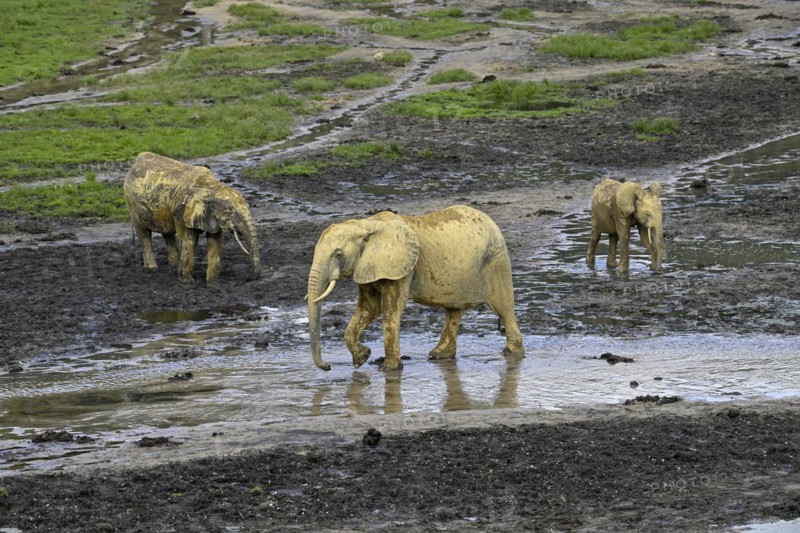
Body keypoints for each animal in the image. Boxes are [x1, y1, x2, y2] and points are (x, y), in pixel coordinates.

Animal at [123, 152, 261, 284]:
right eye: (228, 212)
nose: (247, 279)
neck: (212, 187)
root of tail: (136, 161)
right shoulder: (184, 210)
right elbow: (190, 240)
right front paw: (188, 283)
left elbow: (215, 241)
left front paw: (213, 284)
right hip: (132, 202)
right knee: (144, 233)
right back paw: (152, 269)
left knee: (167, 233)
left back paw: (173, 266)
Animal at [307, 205, 525, 372]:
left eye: (337, 253)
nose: (328, 366)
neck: (366, 224)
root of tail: (492, 222)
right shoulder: (367, 265)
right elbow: (369, 308)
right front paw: (362, 358)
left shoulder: (400, 267)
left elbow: (391, 308)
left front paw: (388, 369)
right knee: (454, 311)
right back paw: (439, 355)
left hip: (496, 263)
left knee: (503, 308)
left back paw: (512, 353)